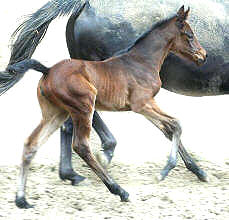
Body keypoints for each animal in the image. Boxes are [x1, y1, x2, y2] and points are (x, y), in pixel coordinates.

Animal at [10, 6, 207, 208]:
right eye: (189, 35)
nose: (203, 55)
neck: (142, 61)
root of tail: (48, 70)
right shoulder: (142, 104)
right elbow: (176, 124)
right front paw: (165, 170)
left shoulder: (146, 106)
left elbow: (169, 129)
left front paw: (198, 171)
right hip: (84, 108)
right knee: (81, 146)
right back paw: (120, 190)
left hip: (56, 113)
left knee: (31, 144)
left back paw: (22, 199)